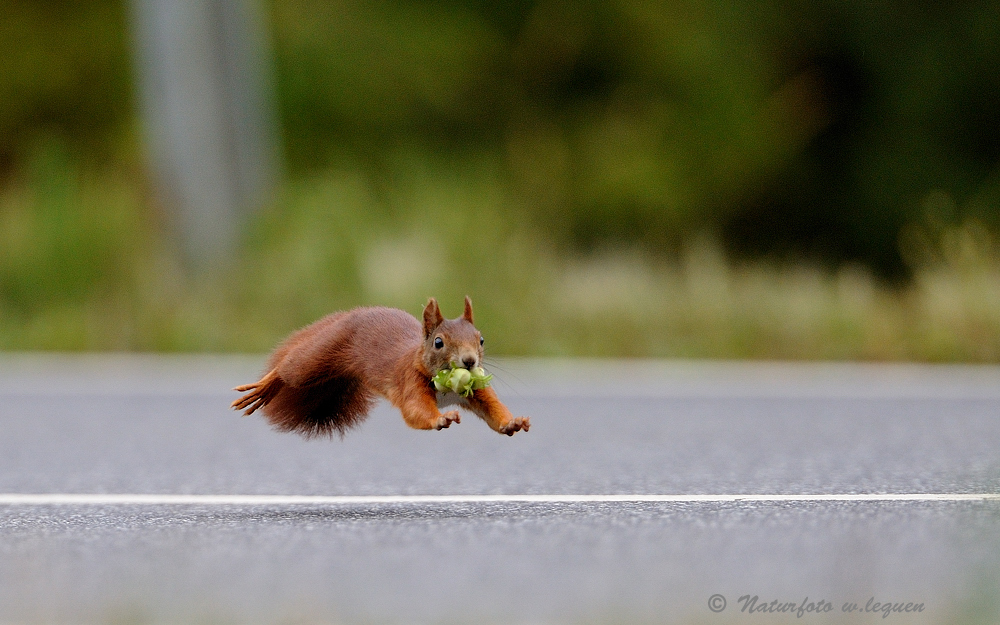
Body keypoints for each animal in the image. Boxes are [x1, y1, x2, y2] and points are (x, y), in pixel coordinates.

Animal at [232, 298, 532, 438]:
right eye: (439, 342)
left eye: (481, 339)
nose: (470, 361)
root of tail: (351, 314)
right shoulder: (410, 381)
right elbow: (415, 411)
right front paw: (440, 419)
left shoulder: (476, 392)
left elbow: (493, 411)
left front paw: (512, 422)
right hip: (319, 357)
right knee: (290, 367)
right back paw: (264, 387)